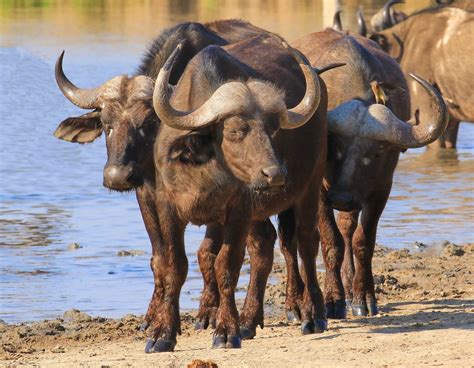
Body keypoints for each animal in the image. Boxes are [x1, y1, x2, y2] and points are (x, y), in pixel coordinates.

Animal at [292, 28, 448, 316]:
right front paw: (333, 300)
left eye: (376, 153)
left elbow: (362, 242)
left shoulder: (381, 189)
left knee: (348, 227)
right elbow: (331, 242)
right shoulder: (319, 190)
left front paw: (363, 297)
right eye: (335, 146)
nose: (342, 199)